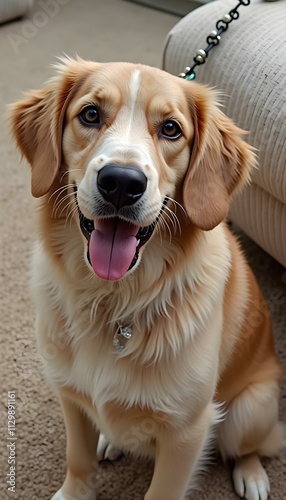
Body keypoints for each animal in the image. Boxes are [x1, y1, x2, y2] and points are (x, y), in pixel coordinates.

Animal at [10, 56, 284, 498]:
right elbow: (77, 459)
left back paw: (253, 475)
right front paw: (74, 490)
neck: (112, 299)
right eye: (90, 114)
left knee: (253, 446)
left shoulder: (187, 430)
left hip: (250, 409)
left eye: (171, 128)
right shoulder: (71, 394)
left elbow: (162, 490)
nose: (122, 182)